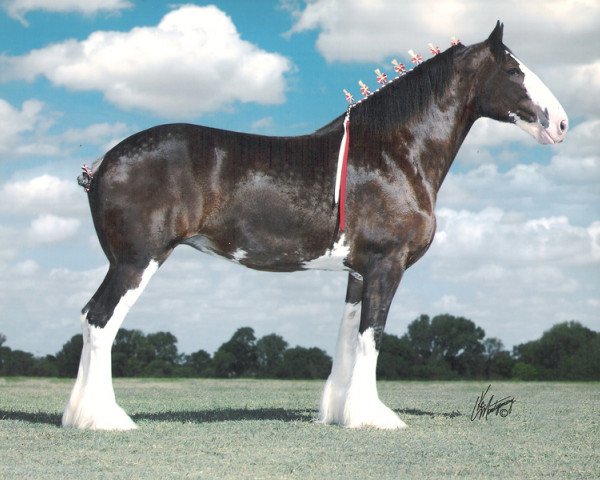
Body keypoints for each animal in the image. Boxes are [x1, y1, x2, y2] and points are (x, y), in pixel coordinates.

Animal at [64, 20, 568, 430]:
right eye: (514, 71)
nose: (562, 124)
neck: (394, 152)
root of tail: (104, 162)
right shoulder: (386, 265)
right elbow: (372, 335)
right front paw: (375, 418)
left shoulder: (359, 271)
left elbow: (347, 336)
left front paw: (340, 413)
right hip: (136, 262)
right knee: (101, 321)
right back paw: (106, 419)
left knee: (91, 320)